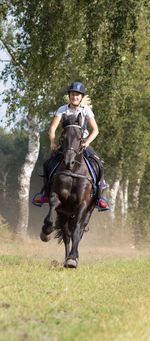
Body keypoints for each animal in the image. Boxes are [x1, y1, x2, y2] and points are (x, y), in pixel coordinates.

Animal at [40, 113, 98, 266]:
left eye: (80, 138)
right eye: (63, 137)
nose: (68, 162)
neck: (73, 172)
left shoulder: (83, 205)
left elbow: (77, 230)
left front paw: (73, 258)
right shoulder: (57, 197)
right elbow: (52, 208)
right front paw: (46, 232)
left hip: (87, 212)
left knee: (78, 231)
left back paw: (72, 258)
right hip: (64, 214)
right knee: (66, 234)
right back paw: (66, 258)